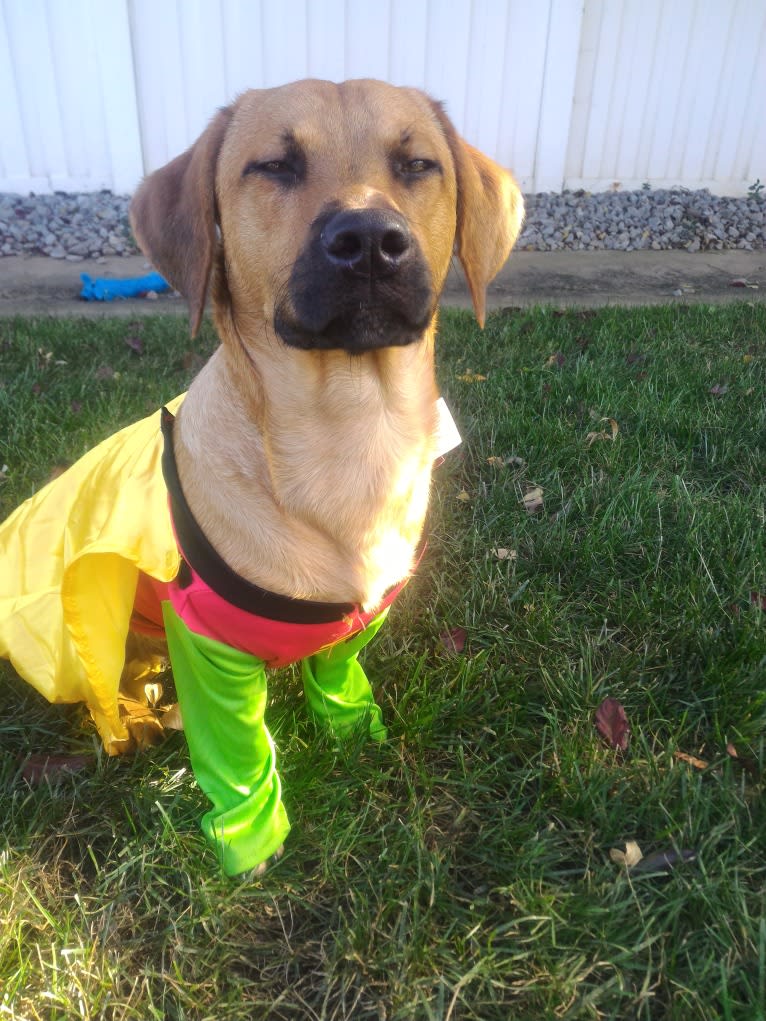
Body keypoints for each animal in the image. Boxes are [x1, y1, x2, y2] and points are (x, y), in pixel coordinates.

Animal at [0, 81, 522, 878]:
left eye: (417, 164)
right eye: (274, 165)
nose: (370, 241)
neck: (350, 440)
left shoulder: (357, 619)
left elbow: (337, 676)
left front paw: (353, 727)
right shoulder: (206, 643)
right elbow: (239, 757)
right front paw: (250, 841)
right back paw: (139, 713)